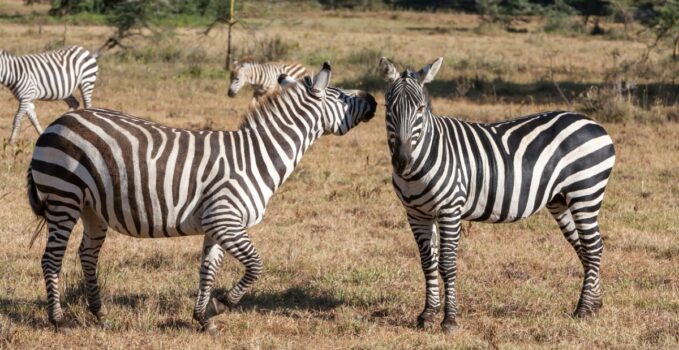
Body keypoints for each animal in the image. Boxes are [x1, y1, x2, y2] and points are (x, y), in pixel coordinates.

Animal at [26, 61, 378, 332]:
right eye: (341, 95)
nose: (374, 100)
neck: (257, 156)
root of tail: (56, 123)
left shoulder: (216, 225)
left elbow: (208, 271)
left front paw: (203, 318)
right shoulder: (226, 220)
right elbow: (255, 266)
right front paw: (222, 305)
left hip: (92, 209)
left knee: (87, 255)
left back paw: (100, 314)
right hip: (64, 196)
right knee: (52, 258)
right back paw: (58, 320)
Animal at [380, 56, 620, 330]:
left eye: (420, 109)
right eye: (388, 107)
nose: (402, 160)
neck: (421, 163)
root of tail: (594, 123)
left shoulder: (450, 210)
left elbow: (447, 264)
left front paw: (450, 319)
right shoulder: (416, 213)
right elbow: (427, 263)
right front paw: (428, 314)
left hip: (586, 192)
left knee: (593, 246)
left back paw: (583, 309)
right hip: (560, 200)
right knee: (584, 247)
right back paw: (595, 303)